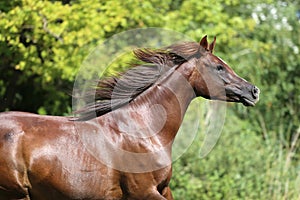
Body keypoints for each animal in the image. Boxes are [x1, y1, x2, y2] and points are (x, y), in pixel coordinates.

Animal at [0, 35, 258, 199]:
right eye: (219, 67)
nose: (253, 91)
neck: (146, 130)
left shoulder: (163, 189)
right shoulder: (143, 192)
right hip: (16, 195)